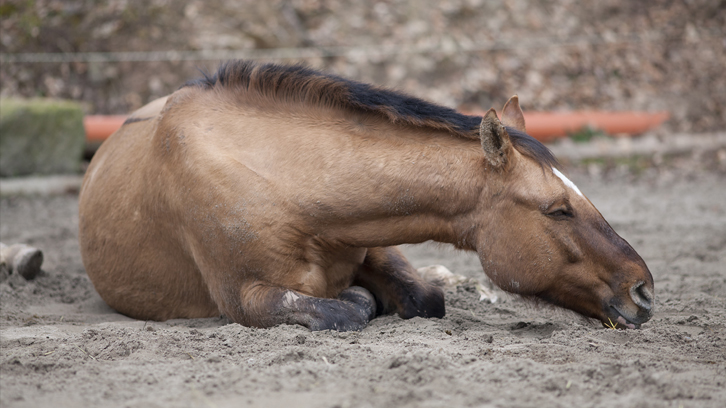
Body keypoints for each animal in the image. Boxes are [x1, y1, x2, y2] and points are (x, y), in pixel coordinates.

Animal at [77, 60, 656, 332]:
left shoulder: (375, 238)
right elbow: (345, 309)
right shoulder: (245, 297)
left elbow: (425, 297)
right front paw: (360, 300)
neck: (284, 182)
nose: (644, 291)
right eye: (558, 209)